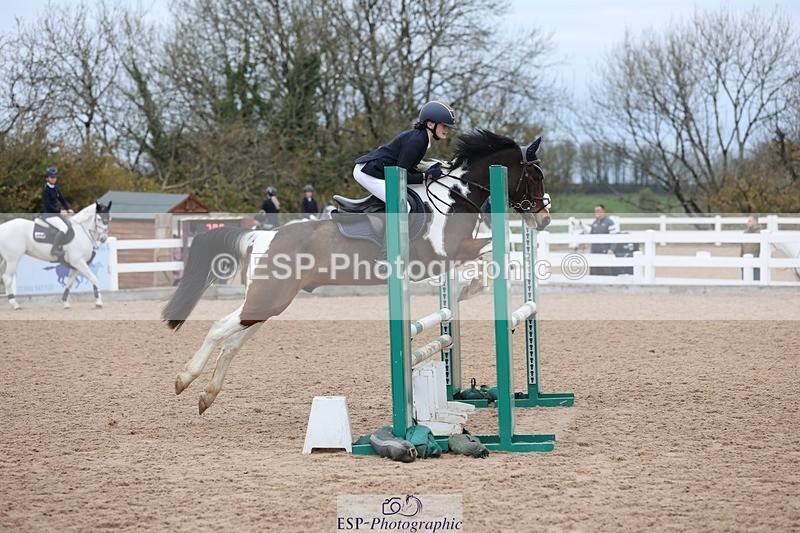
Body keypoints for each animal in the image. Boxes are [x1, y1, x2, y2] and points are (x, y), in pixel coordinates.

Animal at [162, 129, 551, 414]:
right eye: (534, 174)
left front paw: (467, 289)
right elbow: (493, 252)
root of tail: (261, 235)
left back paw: (207, 396)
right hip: (266, 298)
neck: (454, 198)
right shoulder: (445, 253)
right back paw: (184, 379)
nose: (545, 219)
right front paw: (474, 285)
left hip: (268, 303)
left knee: (232, 343)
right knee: (218, 329)